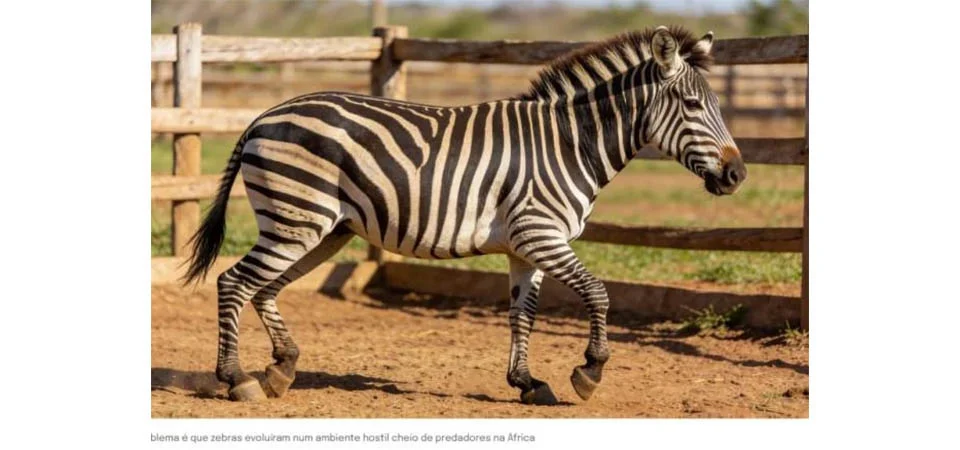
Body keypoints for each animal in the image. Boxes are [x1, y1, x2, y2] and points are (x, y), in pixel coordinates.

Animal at [182, 25, 746, 406]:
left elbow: (522, 313)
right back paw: (237, 379)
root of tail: (264, 115)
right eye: (693, 105)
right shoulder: (542, 235)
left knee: (264, 289)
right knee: (234, 283)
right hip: (296, 220)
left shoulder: (526, 247)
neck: (570, 144)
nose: (737, 175)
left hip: (322, 229)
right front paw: (589, 371)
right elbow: (598, 292)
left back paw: (282, 369)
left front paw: (526, 382)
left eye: (716, 105)